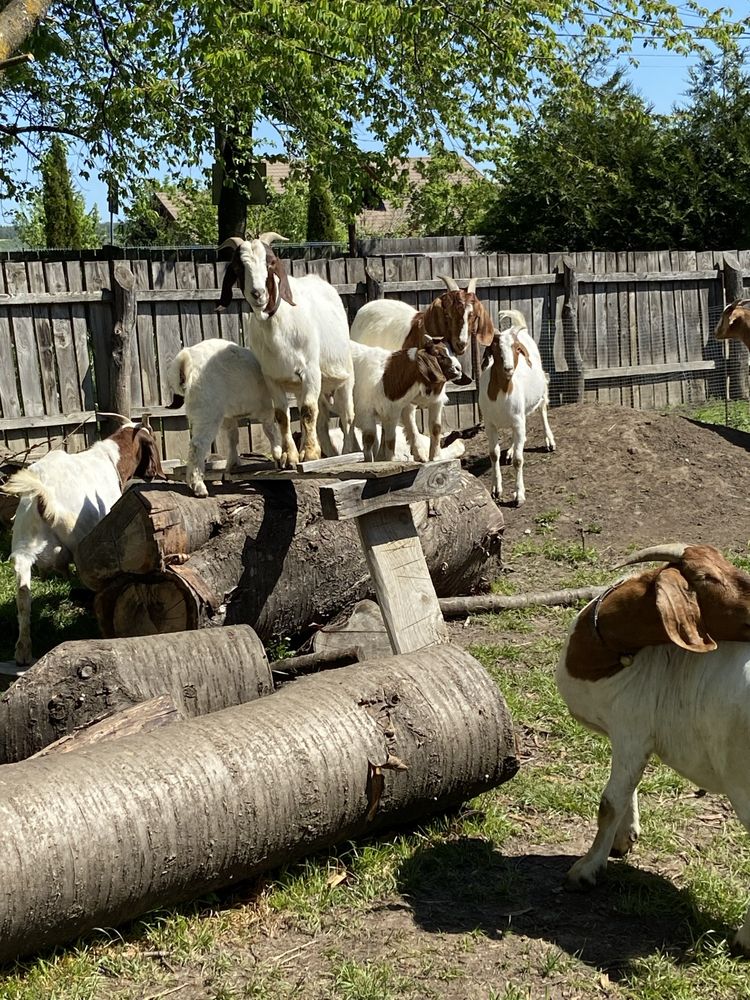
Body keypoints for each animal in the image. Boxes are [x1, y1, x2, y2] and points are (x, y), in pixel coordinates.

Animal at [2, 422, 162, 664]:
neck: (110, 458)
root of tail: (43, 496)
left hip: (22, 549)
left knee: (23, 601)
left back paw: (23, 651)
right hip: (82, 544)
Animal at [167, 340, 282, 496]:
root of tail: (184, 362)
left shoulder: (229, 416)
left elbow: (233, 437)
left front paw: (232, 465)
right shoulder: (265, 407)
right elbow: (271, 429)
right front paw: (279, 455)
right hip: (208, 411)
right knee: (198, 445)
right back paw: (199, 487)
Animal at [217, 235, 358, 468]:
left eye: (271, 262)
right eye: (238, 267)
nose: (258, 294)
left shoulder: (310, 371)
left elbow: (308, 411)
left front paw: (309, 455)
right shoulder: (271, 378)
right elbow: (283, 416)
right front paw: (289, 457)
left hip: (344, 378)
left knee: (346, 417)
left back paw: (348, 451)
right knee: (321, 419)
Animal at [478, 308, 556, 504]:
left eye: (516, 348)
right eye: (495, 348)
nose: (508, 368)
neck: (501, 392)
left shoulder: (518, 422)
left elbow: (519, 461)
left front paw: (519, 495)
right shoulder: (490, 423)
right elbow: (494, 454)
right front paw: (496, 489)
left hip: (541, 390)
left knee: (542, 409)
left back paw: (549, 441)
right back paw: (512, 449)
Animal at [560, 548, 750, 952]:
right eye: (708, 576)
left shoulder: (631, 726)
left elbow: (609, 802)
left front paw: (585, 871)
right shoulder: (631, 734)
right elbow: (626, 789)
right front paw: (624, 839)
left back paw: (745, 939)